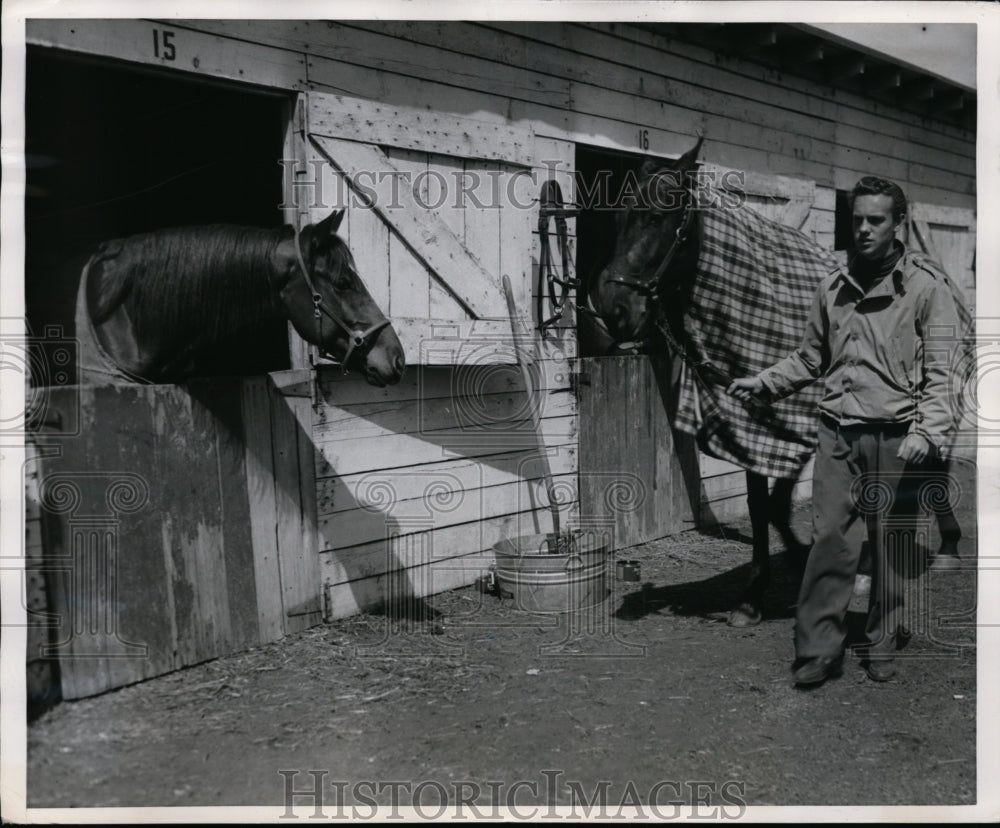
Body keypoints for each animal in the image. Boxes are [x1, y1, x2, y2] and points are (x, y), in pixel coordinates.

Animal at [584, 137, 836, 628]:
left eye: (655, 217)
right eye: (618, 219)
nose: (612, 310)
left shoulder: (792, 424)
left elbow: (776, 502)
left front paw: (798, 562)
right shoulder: (754, 425)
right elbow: (762, 506)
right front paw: (754, 595)